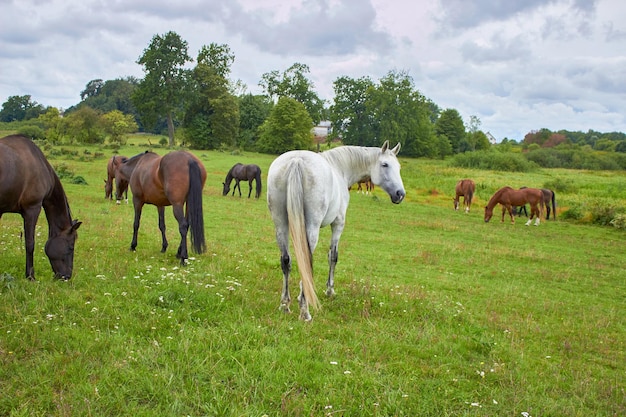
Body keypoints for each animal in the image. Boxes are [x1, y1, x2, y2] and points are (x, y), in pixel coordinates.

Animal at [264, 141, 404, 320]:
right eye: (385, 164)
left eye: (398, 167)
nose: (400, 194)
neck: (340, 168)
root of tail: (297, 161)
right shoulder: (338, 224)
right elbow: (333, 256)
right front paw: (329, 290)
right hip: (311, 228)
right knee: (306, 262)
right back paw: (305, 312)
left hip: (280, 224)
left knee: (286, 260)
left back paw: (285, 305)